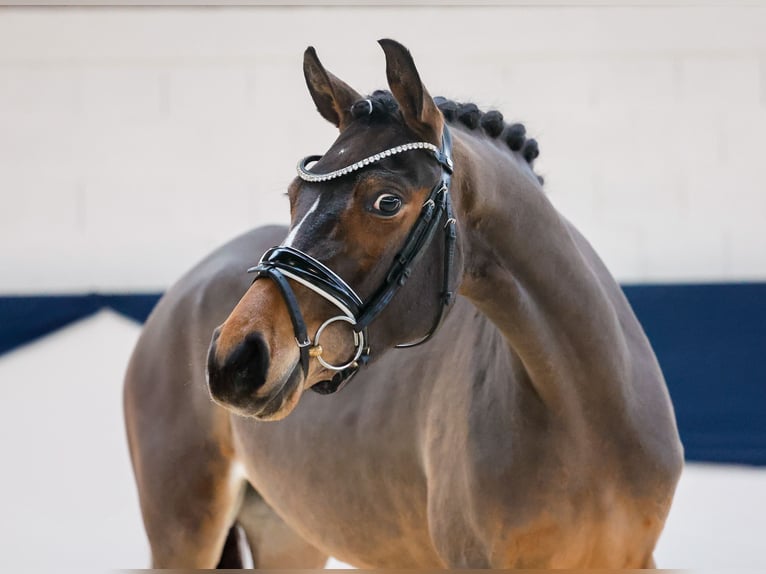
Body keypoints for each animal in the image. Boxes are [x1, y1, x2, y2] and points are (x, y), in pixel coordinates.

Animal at [124, 41, 684, 572]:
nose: (236, 359)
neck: (585, 413)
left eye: (387, 201)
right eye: (294, 194)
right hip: (182, 529)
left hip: (287, 536)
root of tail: (181, 293)